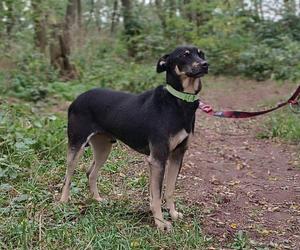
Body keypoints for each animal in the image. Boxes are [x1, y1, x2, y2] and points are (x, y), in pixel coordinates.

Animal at [59, 45, 209, 230]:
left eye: (201, 53)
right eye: (185, 55)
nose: (205, 64)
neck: (180, 101)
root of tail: (76, 99)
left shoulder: (177, 155)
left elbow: (169, 190)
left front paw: (173, 214)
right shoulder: (158, 159)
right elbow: (157, 195)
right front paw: (160, 223)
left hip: (103, 148)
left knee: (90, 173)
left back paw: (97, 199)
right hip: (76, 145)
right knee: (68, 176)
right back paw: (63, 202)